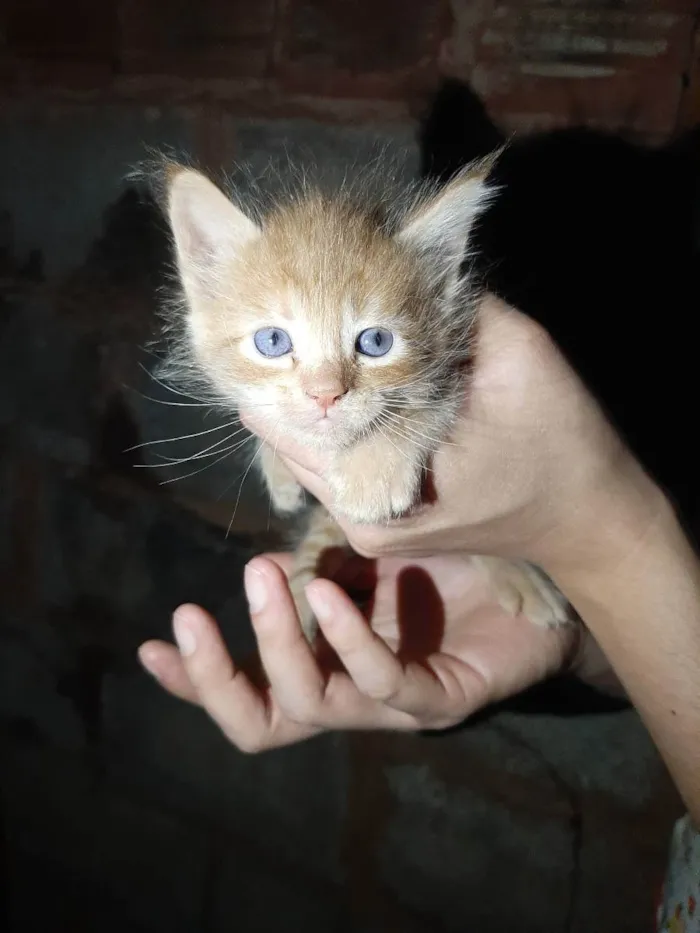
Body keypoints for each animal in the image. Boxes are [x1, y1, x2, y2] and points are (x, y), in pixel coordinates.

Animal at [157, 160, 568, 640]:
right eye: (272, 341)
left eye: (376, 342)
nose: (325, 394)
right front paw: (277, 468)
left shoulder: (460, 367)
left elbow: (430, 408)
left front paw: (373, 471)